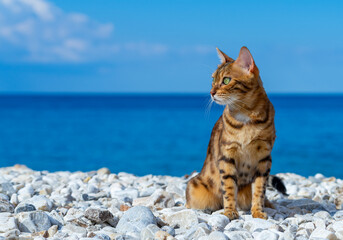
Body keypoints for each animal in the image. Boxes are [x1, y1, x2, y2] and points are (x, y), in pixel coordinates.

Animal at [187, 46, 286, 219]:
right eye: (212, 80)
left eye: (226, 80)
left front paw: (258, 211)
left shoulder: (264, 157)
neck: (246, 116)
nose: (211, 92)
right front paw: (230, 211)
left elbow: (260, 189)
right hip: (195, 188)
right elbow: (228, 187)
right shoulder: (227, 155)